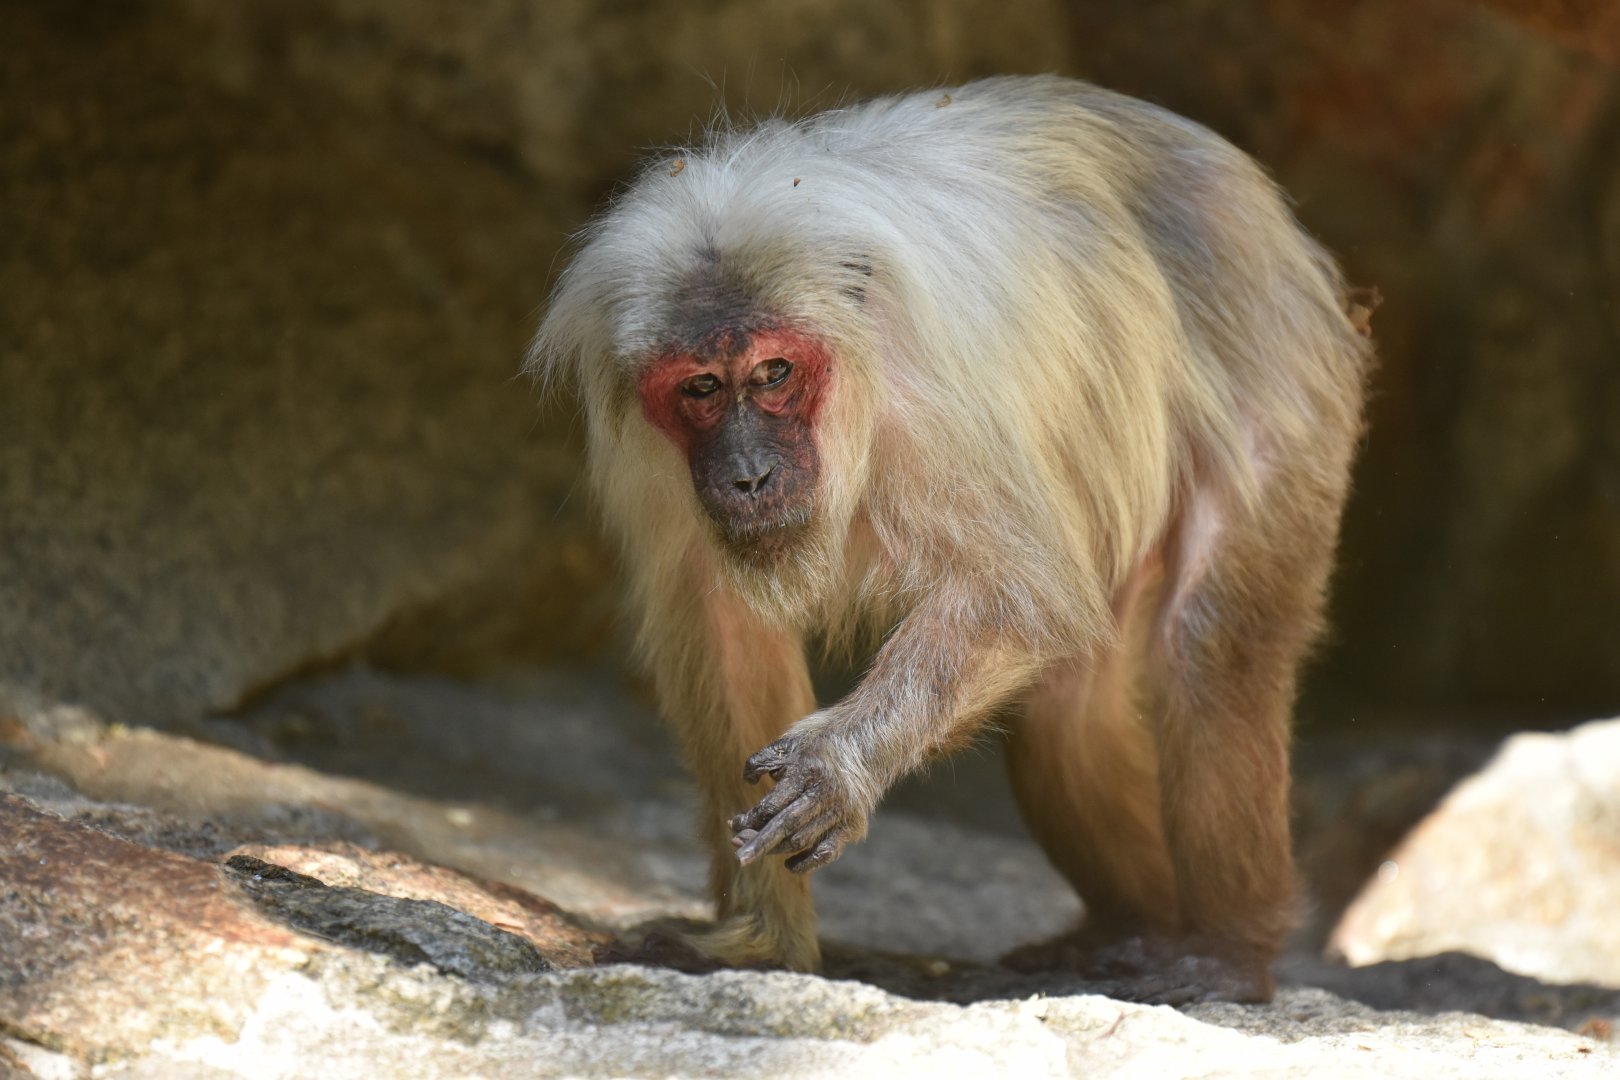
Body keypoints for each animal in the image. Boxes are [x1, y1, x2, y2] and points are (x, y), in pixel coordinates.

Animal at [528, 75, 1370, 1003]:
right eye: (702, 389)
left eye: (775, 374)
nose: (747, 474)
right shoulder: (645, 459)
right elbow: (724, 630)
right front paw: (763, 940)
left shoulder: (929, 417)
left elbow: (1022, 600)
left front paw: (838, 764)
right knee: (1066, 708)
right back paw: (1133, 929)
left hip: (1280, 359)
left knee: (1206, 647)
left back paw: (1224, 952)